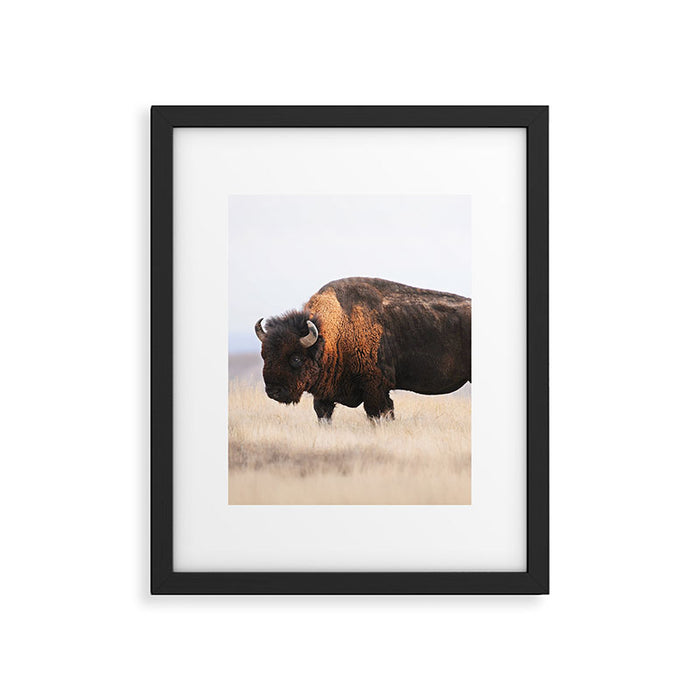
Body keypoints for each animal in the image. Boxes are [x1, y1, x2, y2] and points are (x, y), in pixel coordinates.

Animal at [255, 277, 471, 422]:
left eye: (296, 358)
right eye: (264, 355)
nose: (273, 391)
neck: (335, 331)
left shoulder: (375, 387)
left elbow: (379, 413)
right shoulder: (324, 393)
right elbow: (323, 413)